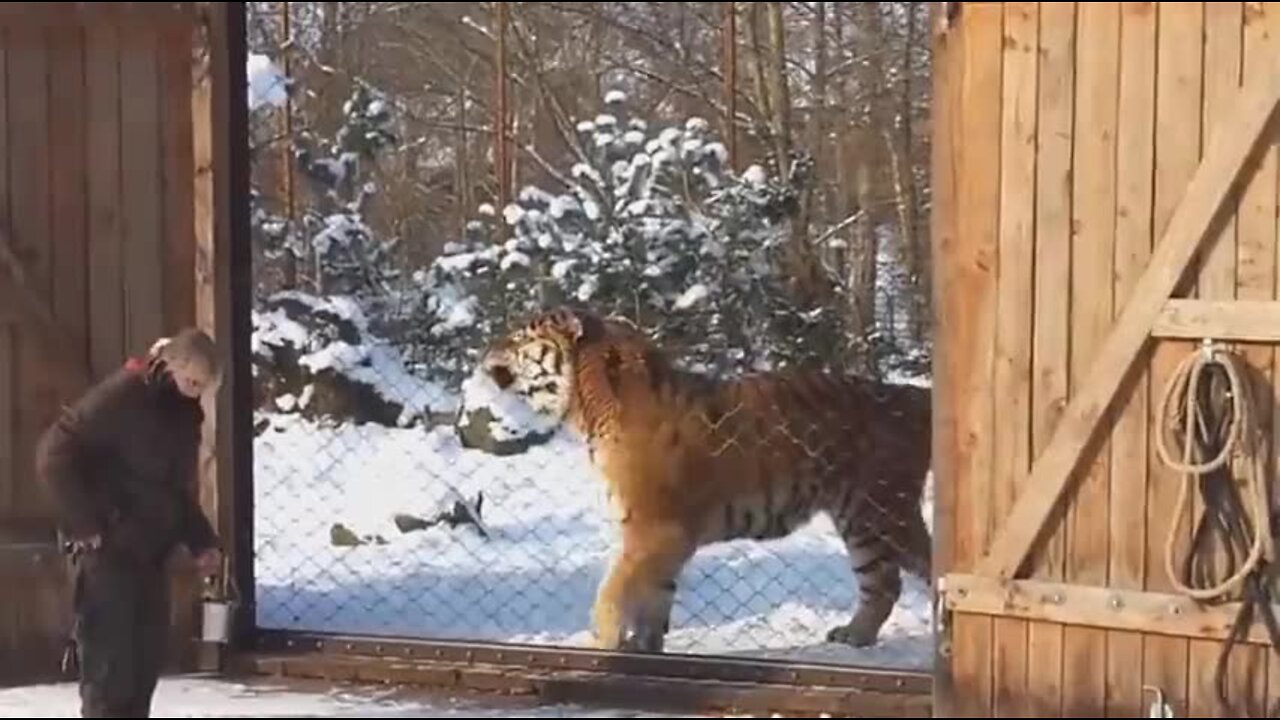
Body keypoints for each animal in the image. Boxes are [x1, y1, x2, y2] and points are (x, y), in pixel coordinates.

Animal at [471, 303, 931, 650]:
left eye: (518, 338)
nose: (486, 348)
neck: (586, 405)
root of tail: (911, 394)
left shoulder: (652, 528)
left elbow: (614, 589)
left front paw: (602, 641)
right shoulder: (664, 538)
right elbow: (654, 596)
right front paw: (642, 647)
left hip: (878, 514)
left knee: (905, 574)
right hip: (864, 521)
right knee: (883, 583)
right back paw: (855, 635)